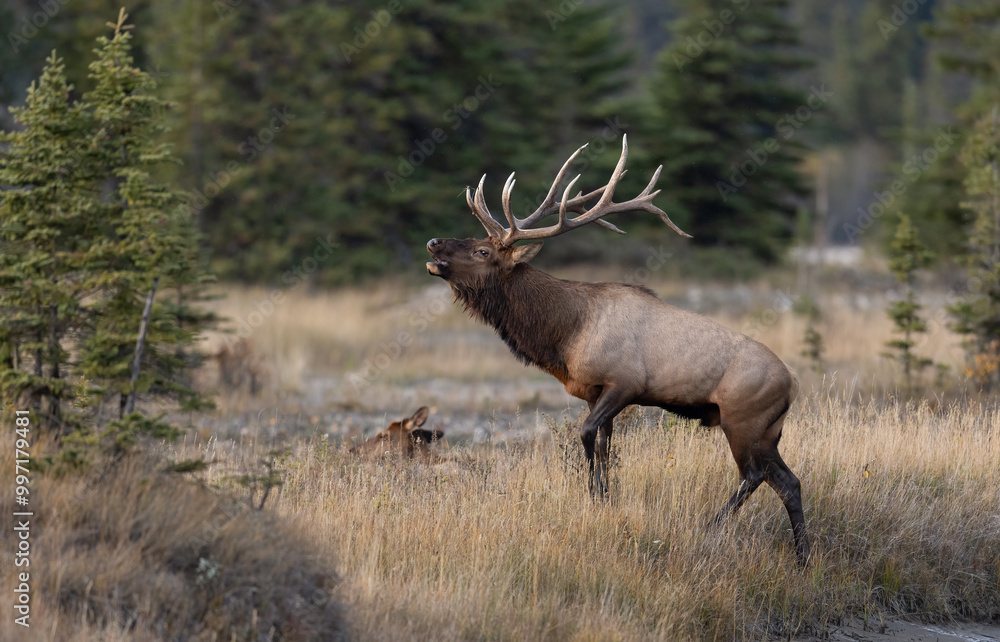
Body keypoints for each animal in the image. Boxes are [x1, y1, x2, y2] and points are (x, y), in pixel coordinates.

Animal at [425, 135, 810, 564]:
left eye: (482, 251)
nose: (433, 242)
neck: (566, 335)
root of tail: (793, 382)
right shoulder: (595, 393)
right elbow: (605, 446)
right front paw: (605, 500)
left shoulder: (625, 383)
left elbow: (587, 435)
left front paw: (596, 498)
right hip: (769, 430)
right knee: (789, 481)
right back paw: (803, 557)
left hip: (743, 419)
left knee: (754, 475)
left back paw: (712, 527)